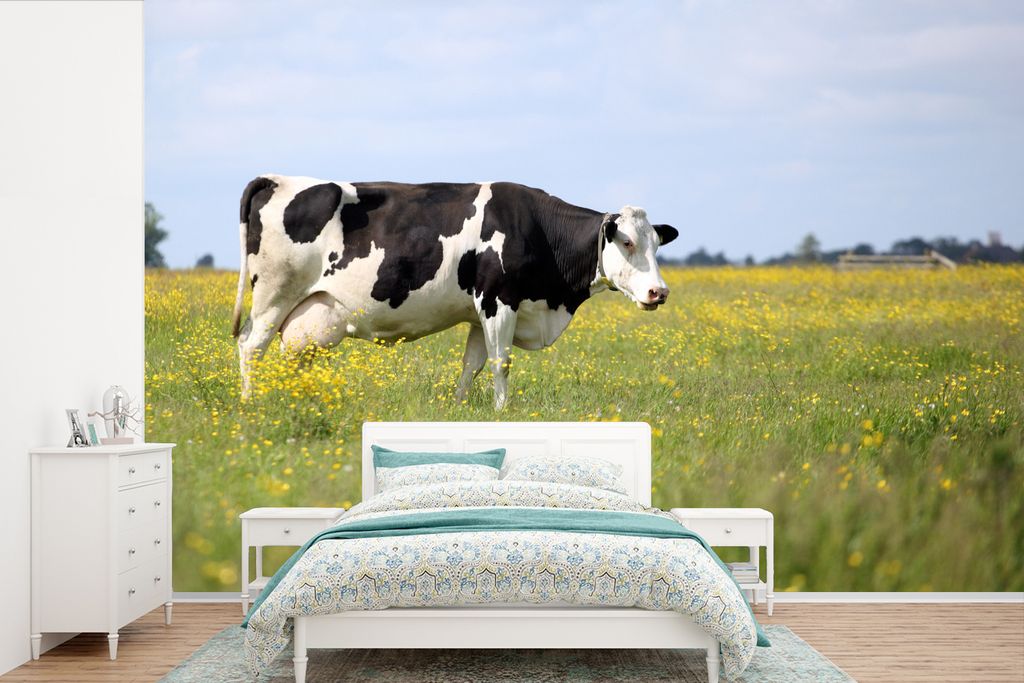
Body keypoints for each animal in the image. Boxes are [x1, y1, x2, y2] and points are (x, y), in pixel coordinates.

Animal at [232, 176, 678, 409]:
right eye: (627, 243)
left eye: (657, 244)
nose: (659, 292)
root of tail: (277, 179)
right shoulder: (500, 300)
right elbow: (501, 364)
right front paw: (502, 411)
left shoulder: (482, 312)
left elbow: (472, 366)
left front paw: (461, 406)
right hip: (274, 294)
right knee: (251, 346)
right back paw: (250, 403)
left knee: (296, 358)